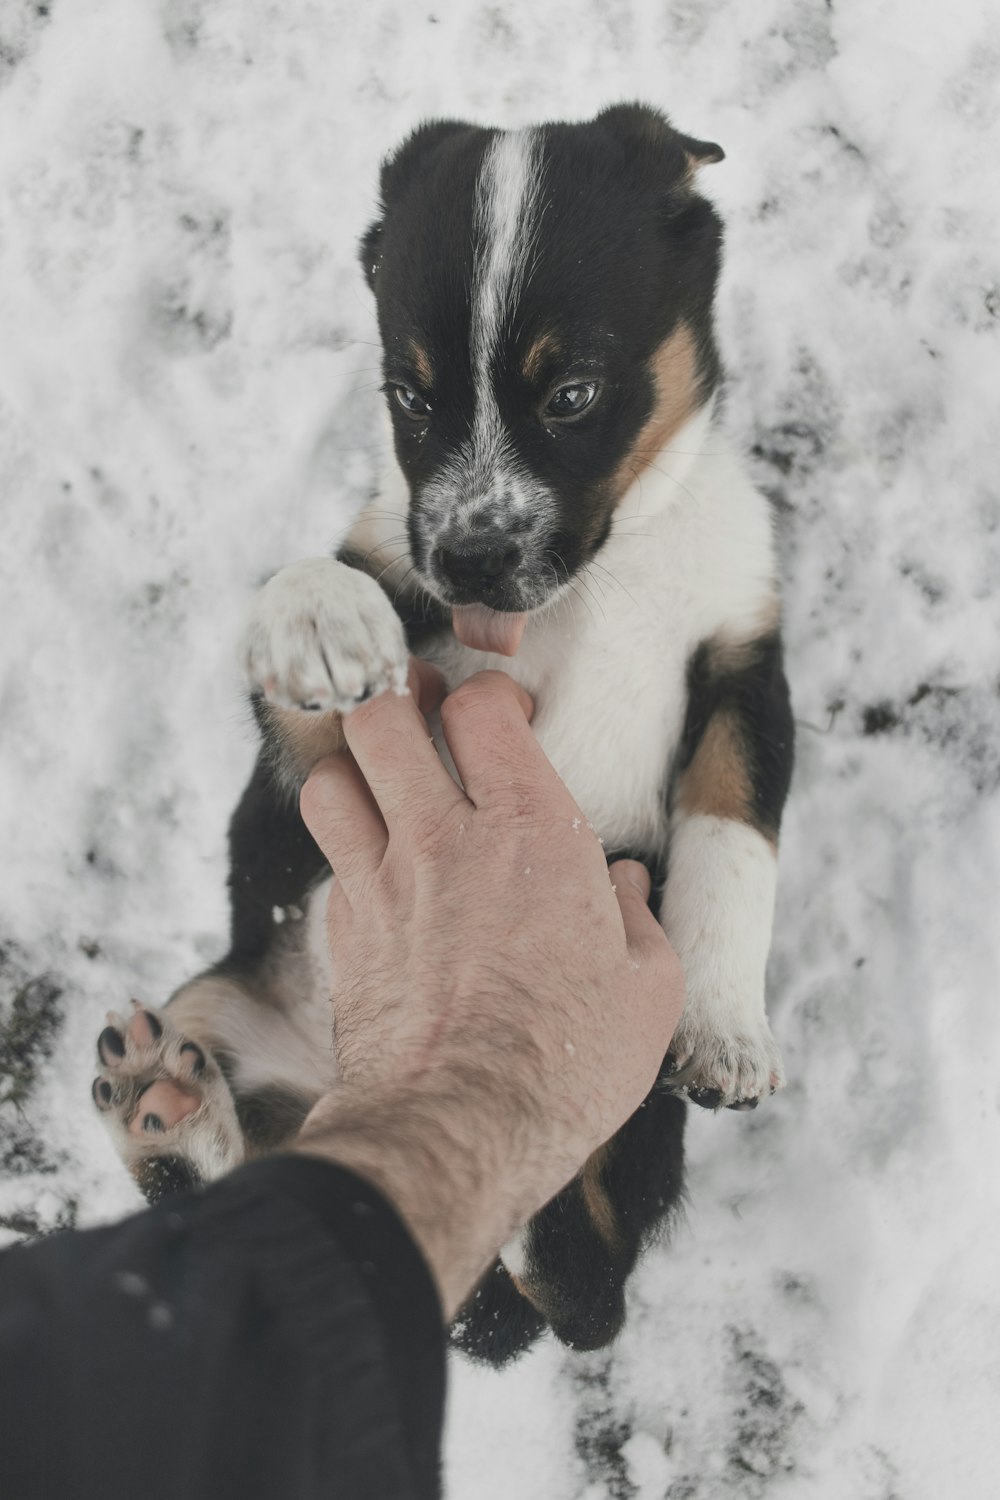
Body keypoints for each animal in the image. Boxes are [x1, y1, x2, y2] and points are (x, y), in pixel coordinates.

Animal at [93, 105, 797, 1368]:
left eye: (569, 393)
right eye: (410, 399)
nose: (466, 561)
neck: (603, 576)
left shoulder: (743, 667)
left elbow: (732, 839)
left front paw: (724, 1025)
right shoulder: (343, 734)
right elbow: (326, 623)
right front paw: (316, 617)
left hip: (634, 1118)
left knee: (588, 1294)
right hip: (207, 1012)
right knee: (265, 1183)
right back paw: (167, 1119)